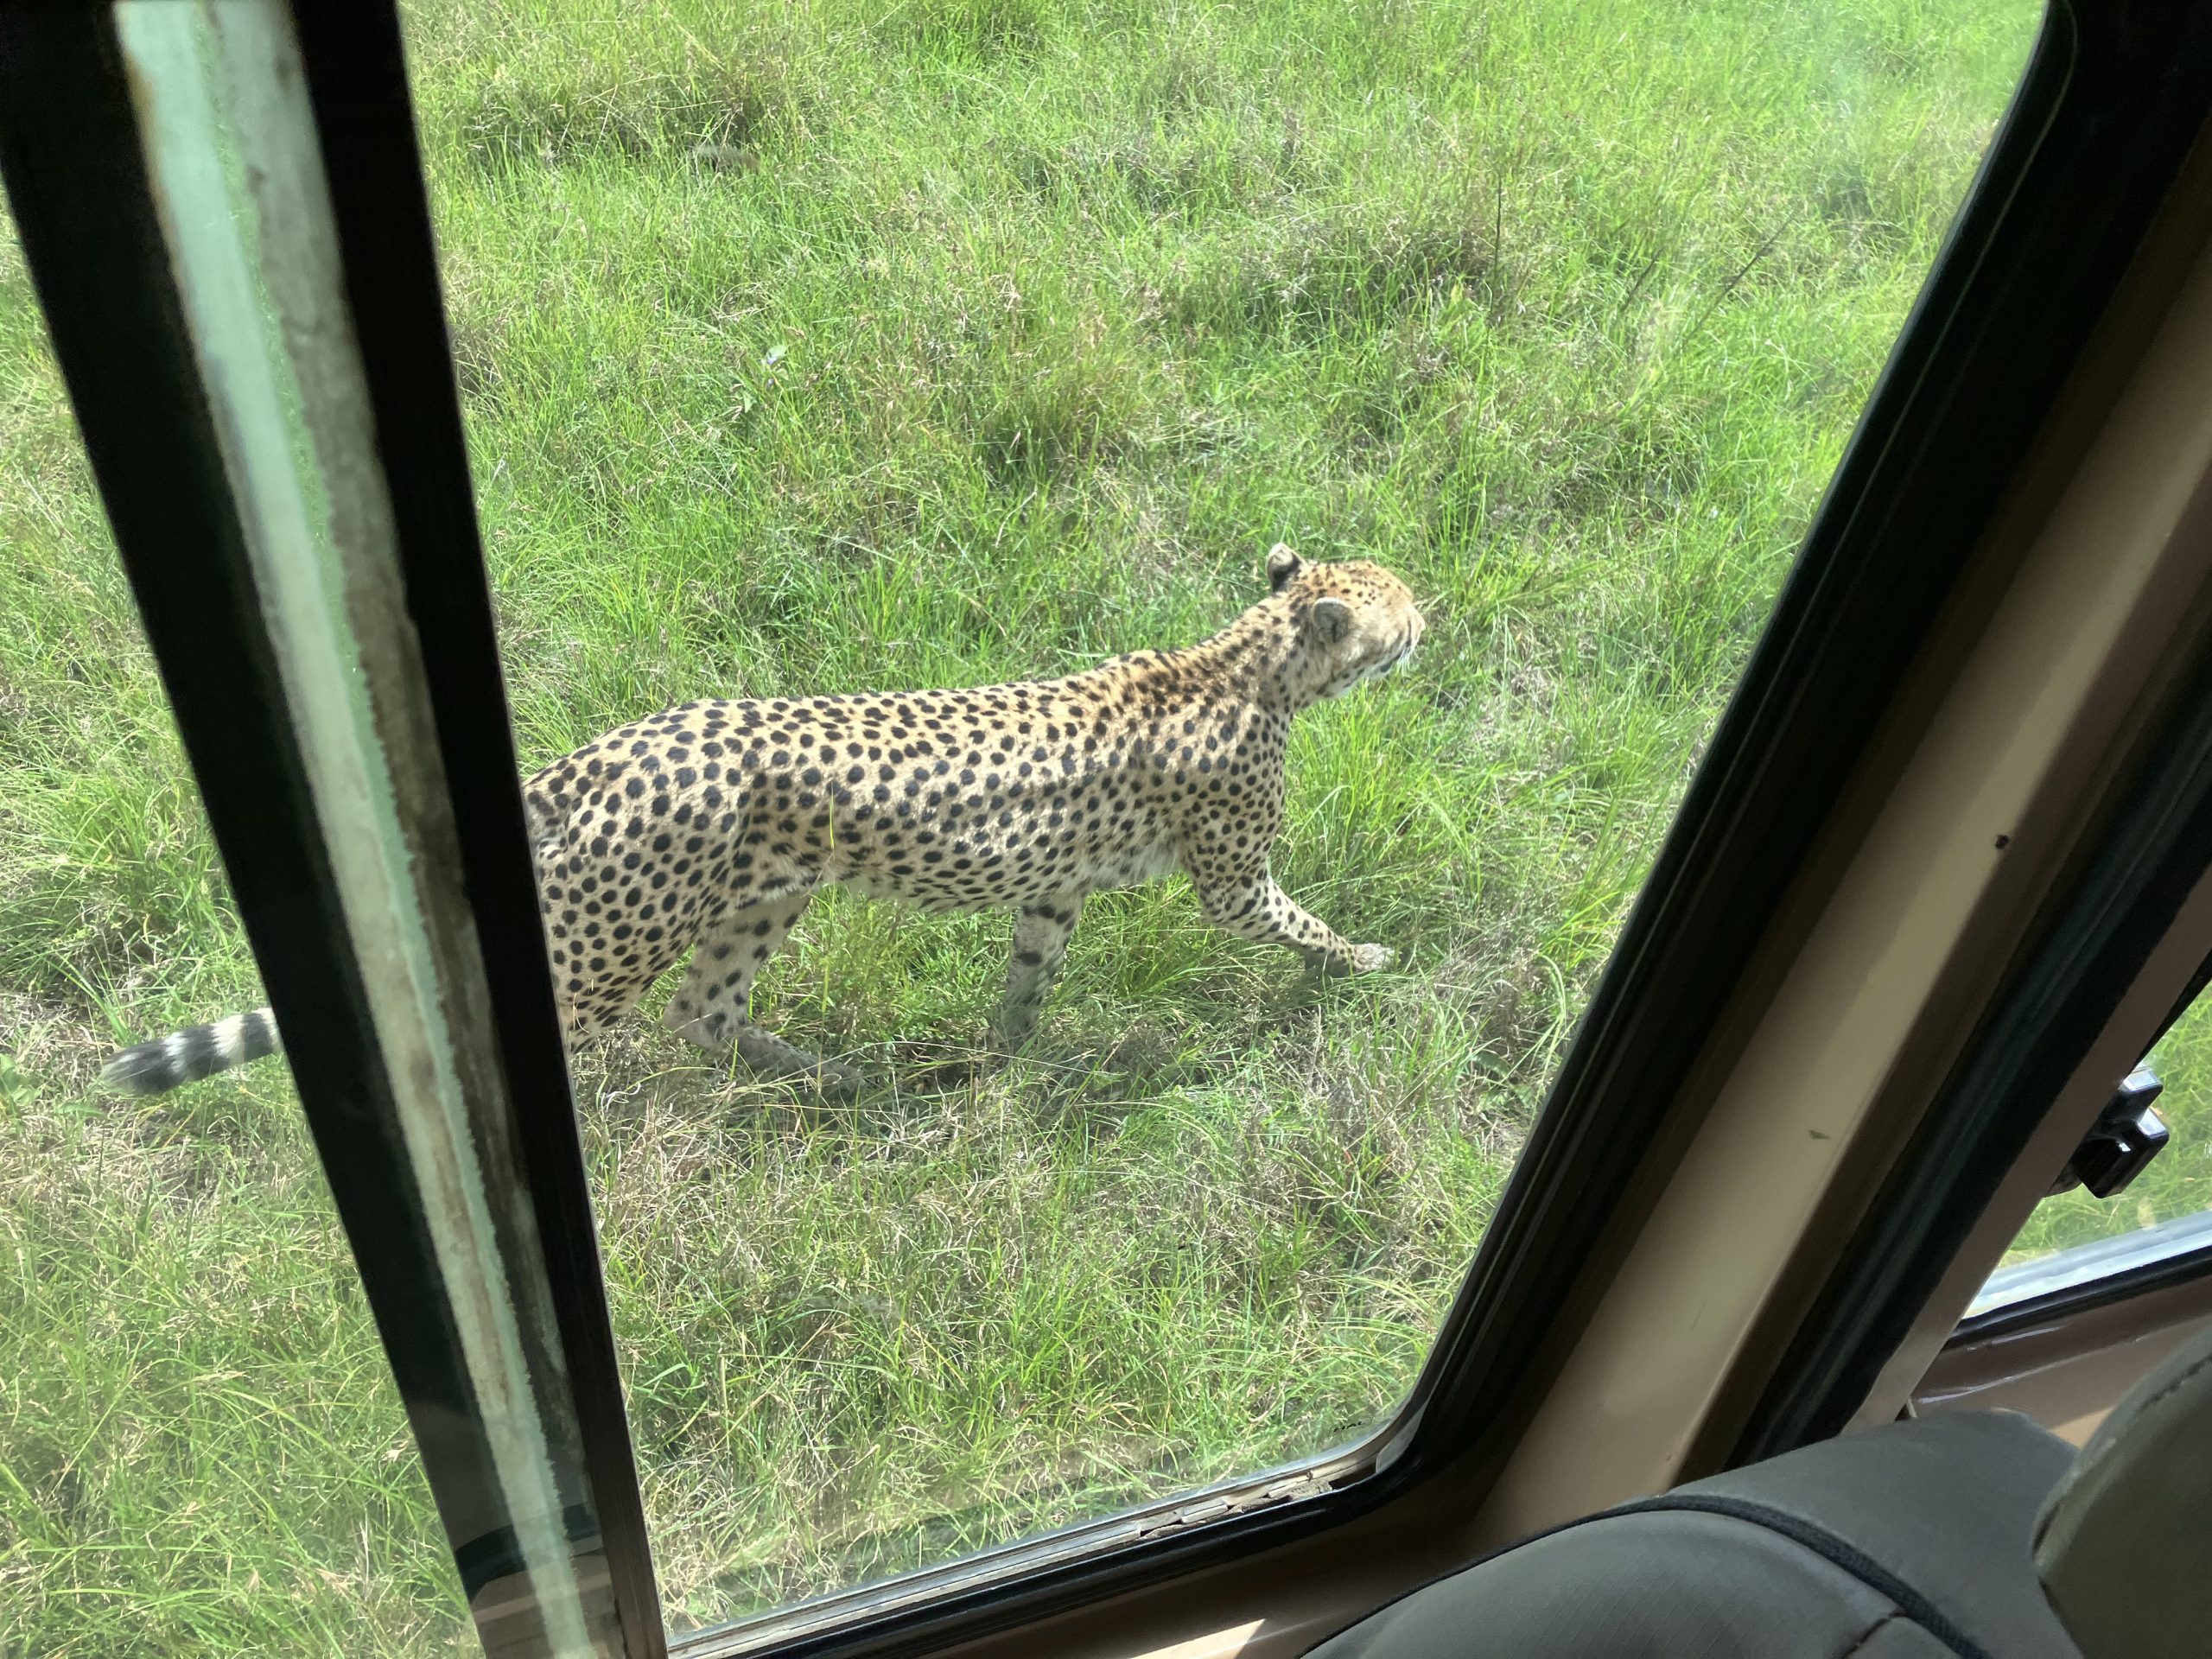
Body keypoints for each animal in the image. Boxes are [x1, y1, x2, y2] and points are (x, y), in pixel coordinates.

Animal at [99, 548, 1415, 1106]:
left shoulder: (1052, 888)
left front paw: (1005, 1051)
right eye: (1396, 607)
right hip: (615, 938)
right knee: (586, 1024)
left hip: (764, 900)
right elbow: (1290, 921)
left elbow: (1030, 973)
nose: (1431, 612)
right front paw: (1367, 962)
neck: (1249, 661)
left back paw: (828, 1080)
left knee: (706, 1012)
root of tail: (618, 743)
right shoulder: (1230, 880)